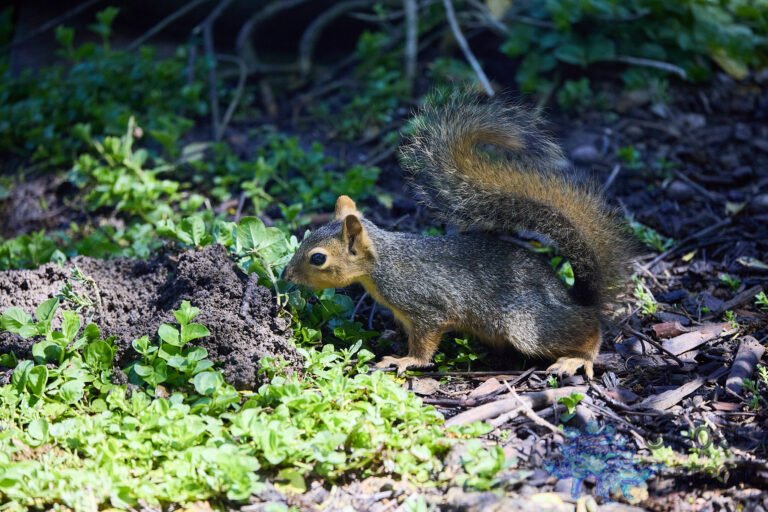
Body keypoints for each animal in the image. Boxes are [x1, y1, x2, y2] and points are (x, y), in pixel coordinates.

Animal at [284, 90, 629, 379]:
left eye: (318, 258)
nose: (287, 276)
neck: (383, 264)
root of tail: (572, 298)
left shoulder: (426, 307)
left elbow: (425, 343)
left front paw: (405, 359)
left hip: (527, 325)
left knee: (589, 330)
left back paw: (578, 358)